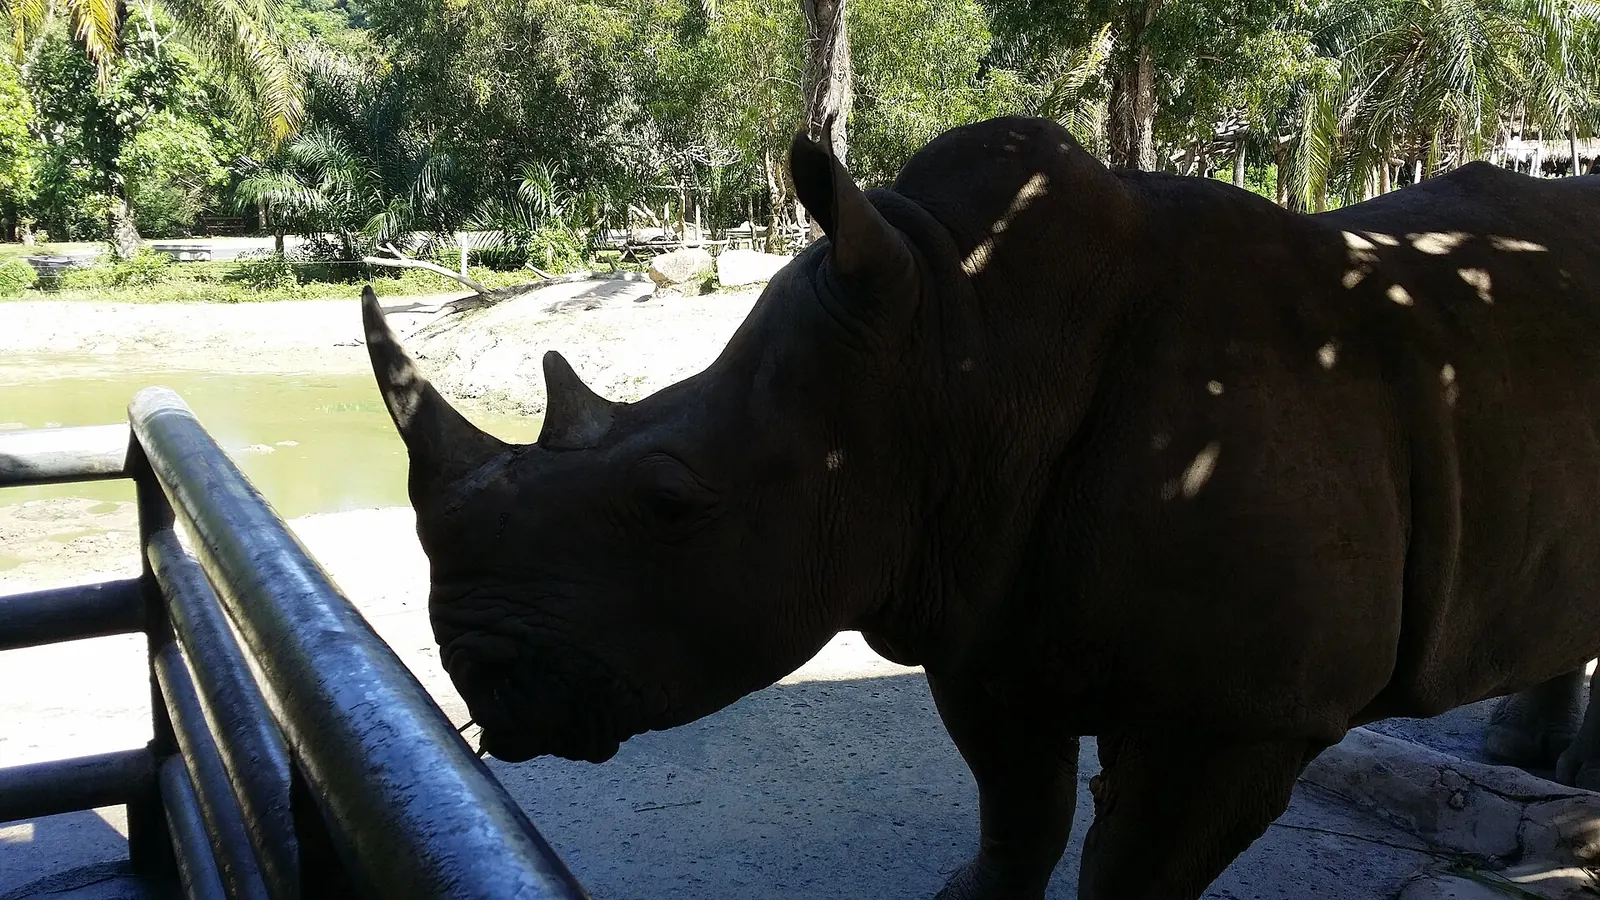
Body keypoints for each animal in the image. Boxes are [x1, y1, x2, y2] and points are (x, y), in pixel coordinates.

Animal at [362, 116, 1600, 899]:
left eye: (669, 502)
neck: (956, 354)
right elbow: (1017, 820)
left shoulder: (1248, 712)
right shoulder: (979, 605)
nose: (475, 670)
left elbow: (1126, 874)